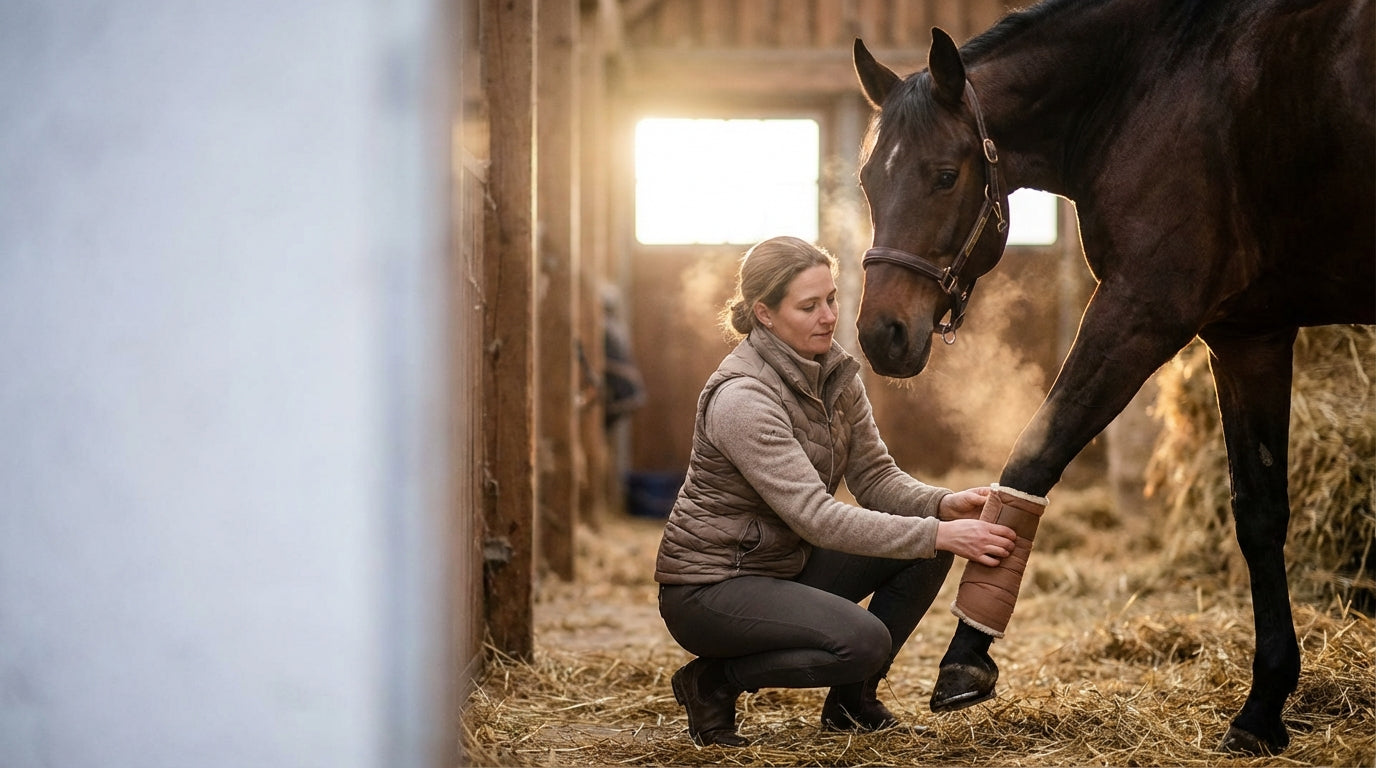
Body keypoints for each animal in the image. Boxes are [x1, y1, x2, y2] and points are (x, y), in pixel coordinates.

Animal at [851, 0, 1373, 756]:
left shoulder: (1142, 308)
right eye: (869, 182)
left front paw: (966, 655)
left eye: (945, 175)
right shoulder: (1249, 337)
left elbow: (1034, 455)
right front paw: (1263, 706)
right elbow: (1259, 513)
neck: (1145, 86)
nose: (880, 335)